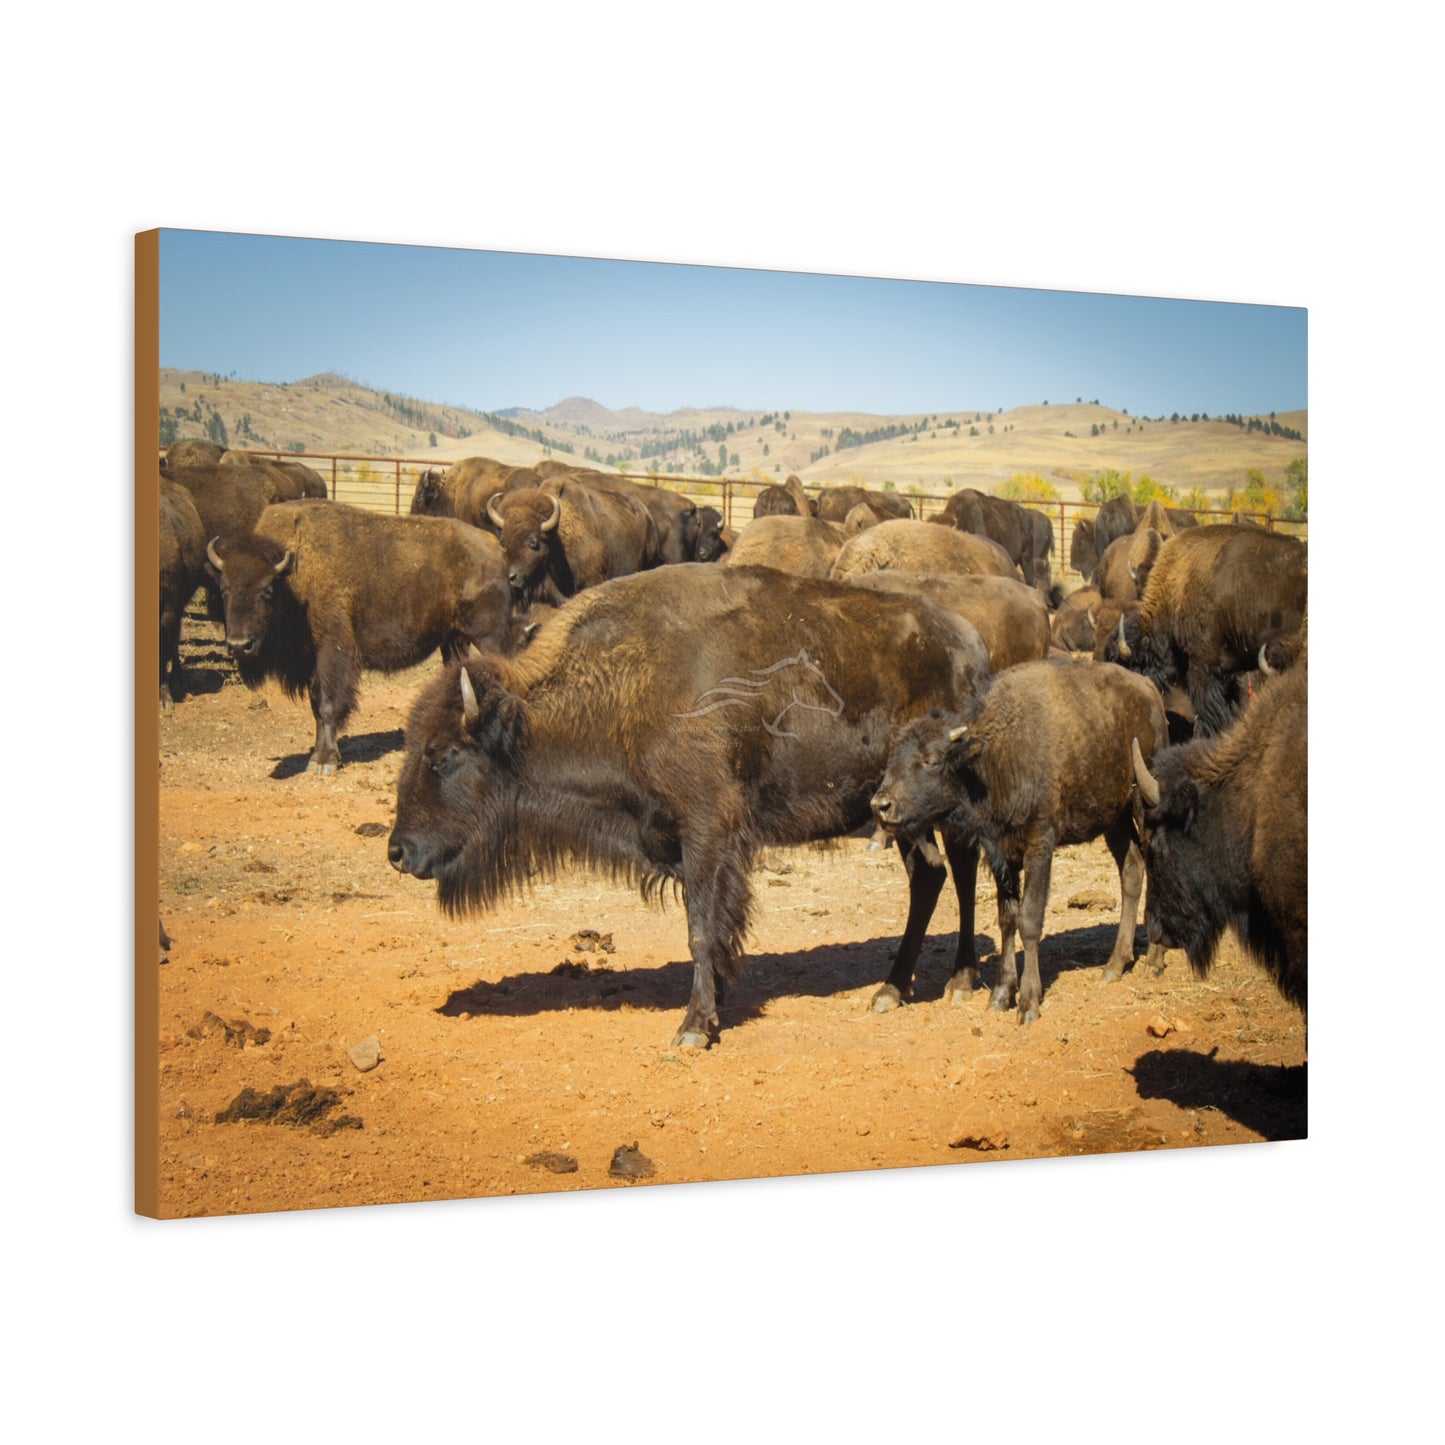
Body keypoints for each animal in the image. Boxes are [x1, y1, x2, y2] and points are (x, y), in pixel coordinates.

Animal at [205, 501, 513, 773]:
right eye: (224, 589)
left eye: (267, 590)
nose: (240, 645)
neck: (296, 570)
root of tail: (494, 546)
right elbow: (316, 707)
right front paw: (320, 756)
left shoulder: (333, 651)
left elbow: (328, 704)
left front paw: (324, 762)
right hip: (453, 640)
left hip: (489, 637)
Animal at [387, 565, 992, 1047]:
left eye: (441, 755)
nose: (397, 851)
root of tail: (973, 644)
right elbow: (713, 928)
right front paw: (715, 1002)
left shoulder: (708, 831)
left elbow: (701, 927)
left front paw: (694, 1027)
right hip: (901, 814)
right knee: (930, 875)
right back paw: (892, 989)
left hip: (945, 808)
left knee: (960, 872)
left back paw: (959, 983)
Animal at [870, 661, 1169, 1022]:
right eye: (891, 761)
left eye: (930, 760)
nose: (881, 805)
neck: (996, 755)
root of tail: (1149, 690)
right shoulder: (1003, 853)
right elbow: (1007, 918)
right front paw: (1001, 994)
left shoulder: (1039, 844)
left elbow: (1029, 918)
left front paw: (1028, 1002)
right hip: (1115, 818)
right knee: (1132, 870)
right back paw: (1115, 964)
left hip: (1144, 804)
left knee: (1156, 865)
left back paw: (1154, 960)